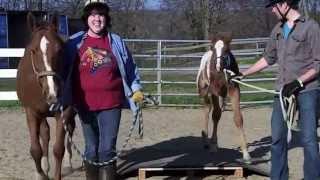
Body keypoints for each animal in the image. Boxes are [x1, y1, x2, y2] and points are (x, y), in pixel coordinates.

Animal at [16, 12, 75, 179]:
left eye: (59, 50)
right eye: (33, 50)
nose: (52, 94)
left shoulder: (64, 111)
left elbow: (58, 149)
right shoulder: (31, 111)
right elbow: (36, 149)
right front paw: (41, 173)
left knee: (70, 131)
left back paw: (68, 163)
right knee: (45, 133)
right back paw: (45, 167)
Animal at [196, 32, 251, 163]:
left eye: (226, 49)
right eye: (213, 48)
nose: (218, 66)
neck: (222, 74)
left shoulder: (234, 90)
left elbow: (238, 118)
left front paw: (246, 153)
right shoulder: (214, 91)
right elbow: (215, 116)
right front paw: (213, 146)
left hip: (222, 96)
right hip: (205, 93)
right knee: (208, 111)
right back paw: (206, 140)